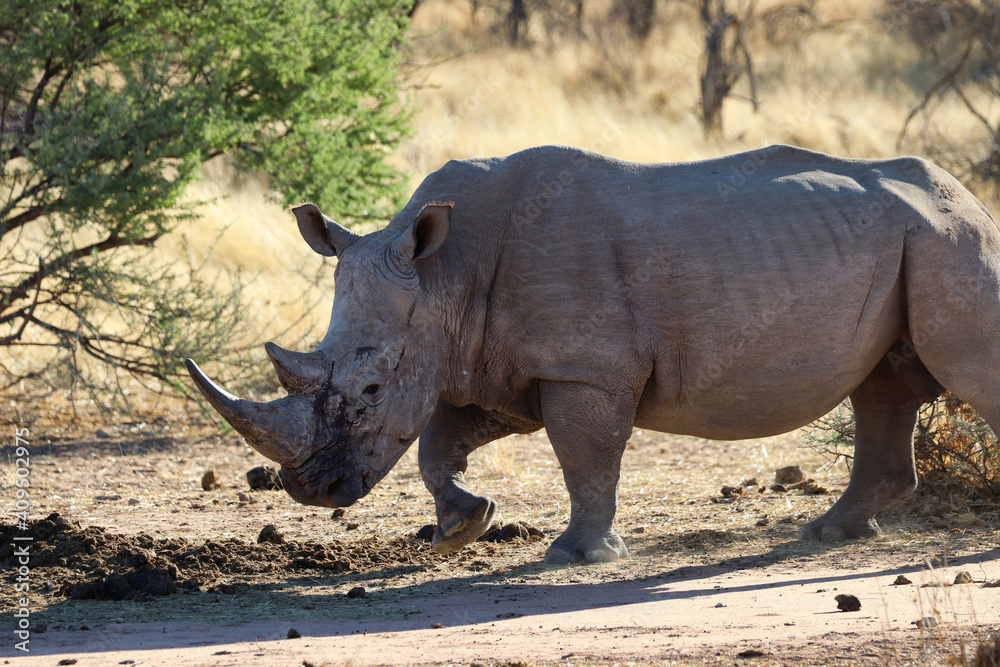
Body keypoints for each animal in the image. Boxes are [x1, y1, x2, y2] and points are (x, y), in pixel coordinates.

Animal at [186, 144, 1000, 563]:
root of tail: (967, 192)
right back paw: (831, 533)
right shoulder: (493, 363)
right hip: (913, 242)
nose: (313, 491)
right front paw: (462, 527)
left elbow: (586, 457)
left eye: (372, 390)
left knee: (958, 370)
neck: (442, 273)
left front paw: (578, 556)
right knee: (883, 388)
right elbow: (439, 445)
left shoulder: (582, 368)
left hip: (950, 239)